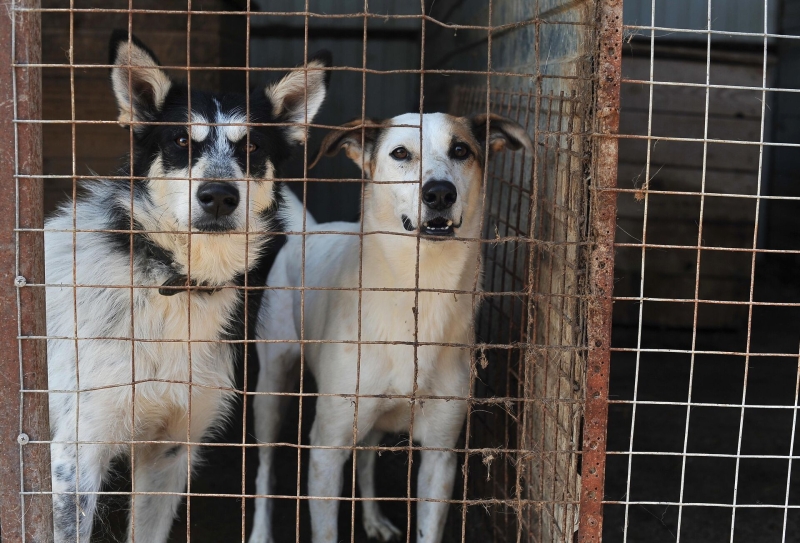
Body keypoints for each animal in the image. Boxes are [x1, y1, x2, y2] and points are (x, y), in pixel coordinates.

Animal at [43, 30, 332, 543]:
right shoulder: (78, 452)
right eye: (181, 141)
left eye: (252, 147)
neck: (174, 284)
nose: (218, 196)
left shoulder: (171, 450)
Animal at [247, 111, 528, 543]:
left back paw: (374, 519)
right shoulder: (326, 448)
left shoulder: (440, 456)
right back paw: (261, 530)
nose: (439, 193)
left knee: (364, 461)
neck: (419, 294)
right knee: (264, 467)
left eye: (460, 150)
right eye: (400, 153)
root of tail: (312, 229)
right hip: (270, 389)